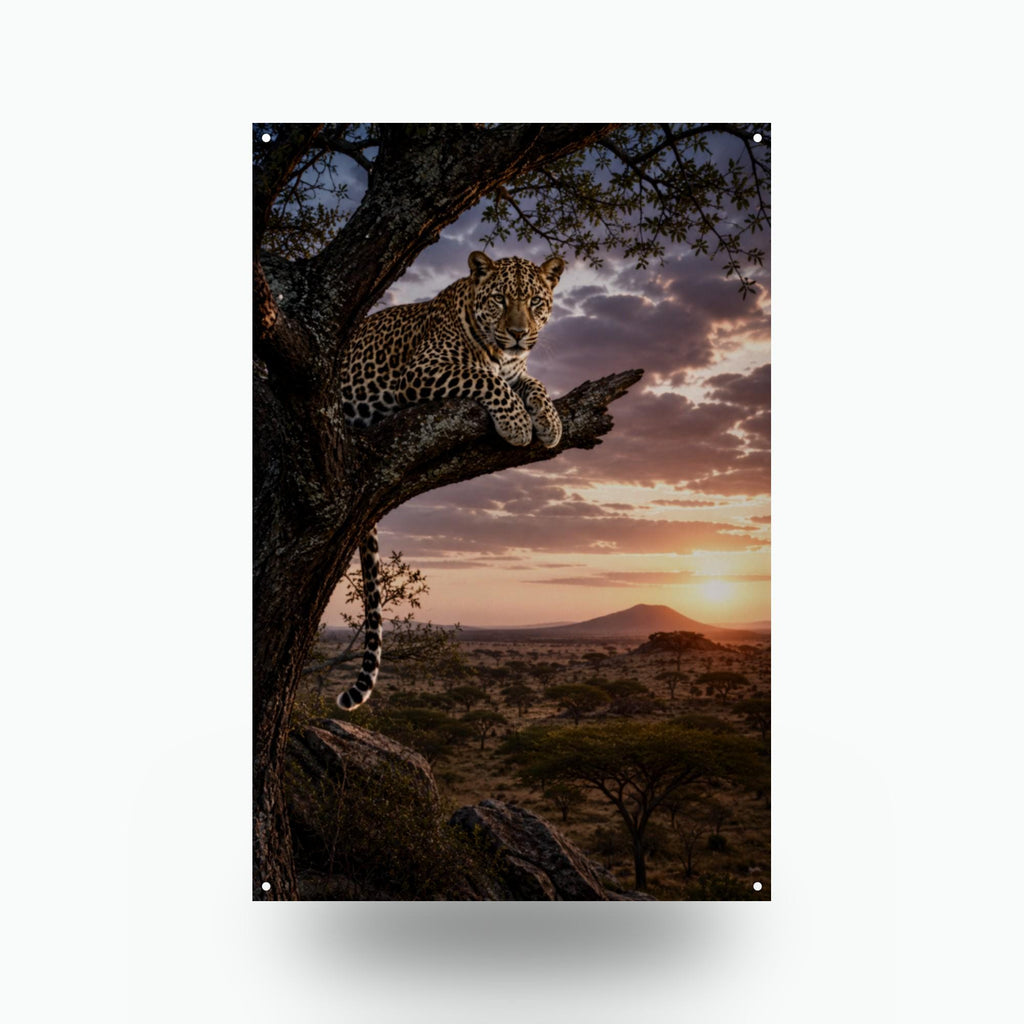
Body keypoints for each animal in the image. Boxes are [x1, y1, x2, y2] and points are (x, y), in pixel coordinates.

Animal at [335, 251, 566, 710]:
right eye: (499, 299)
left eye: (535, 302)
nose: (519, 334)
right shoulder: (425, 370)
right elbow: (485, 378)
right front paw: (517, 425)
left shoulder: (519, 370)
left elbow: (535, 383)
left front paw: (550, 422)